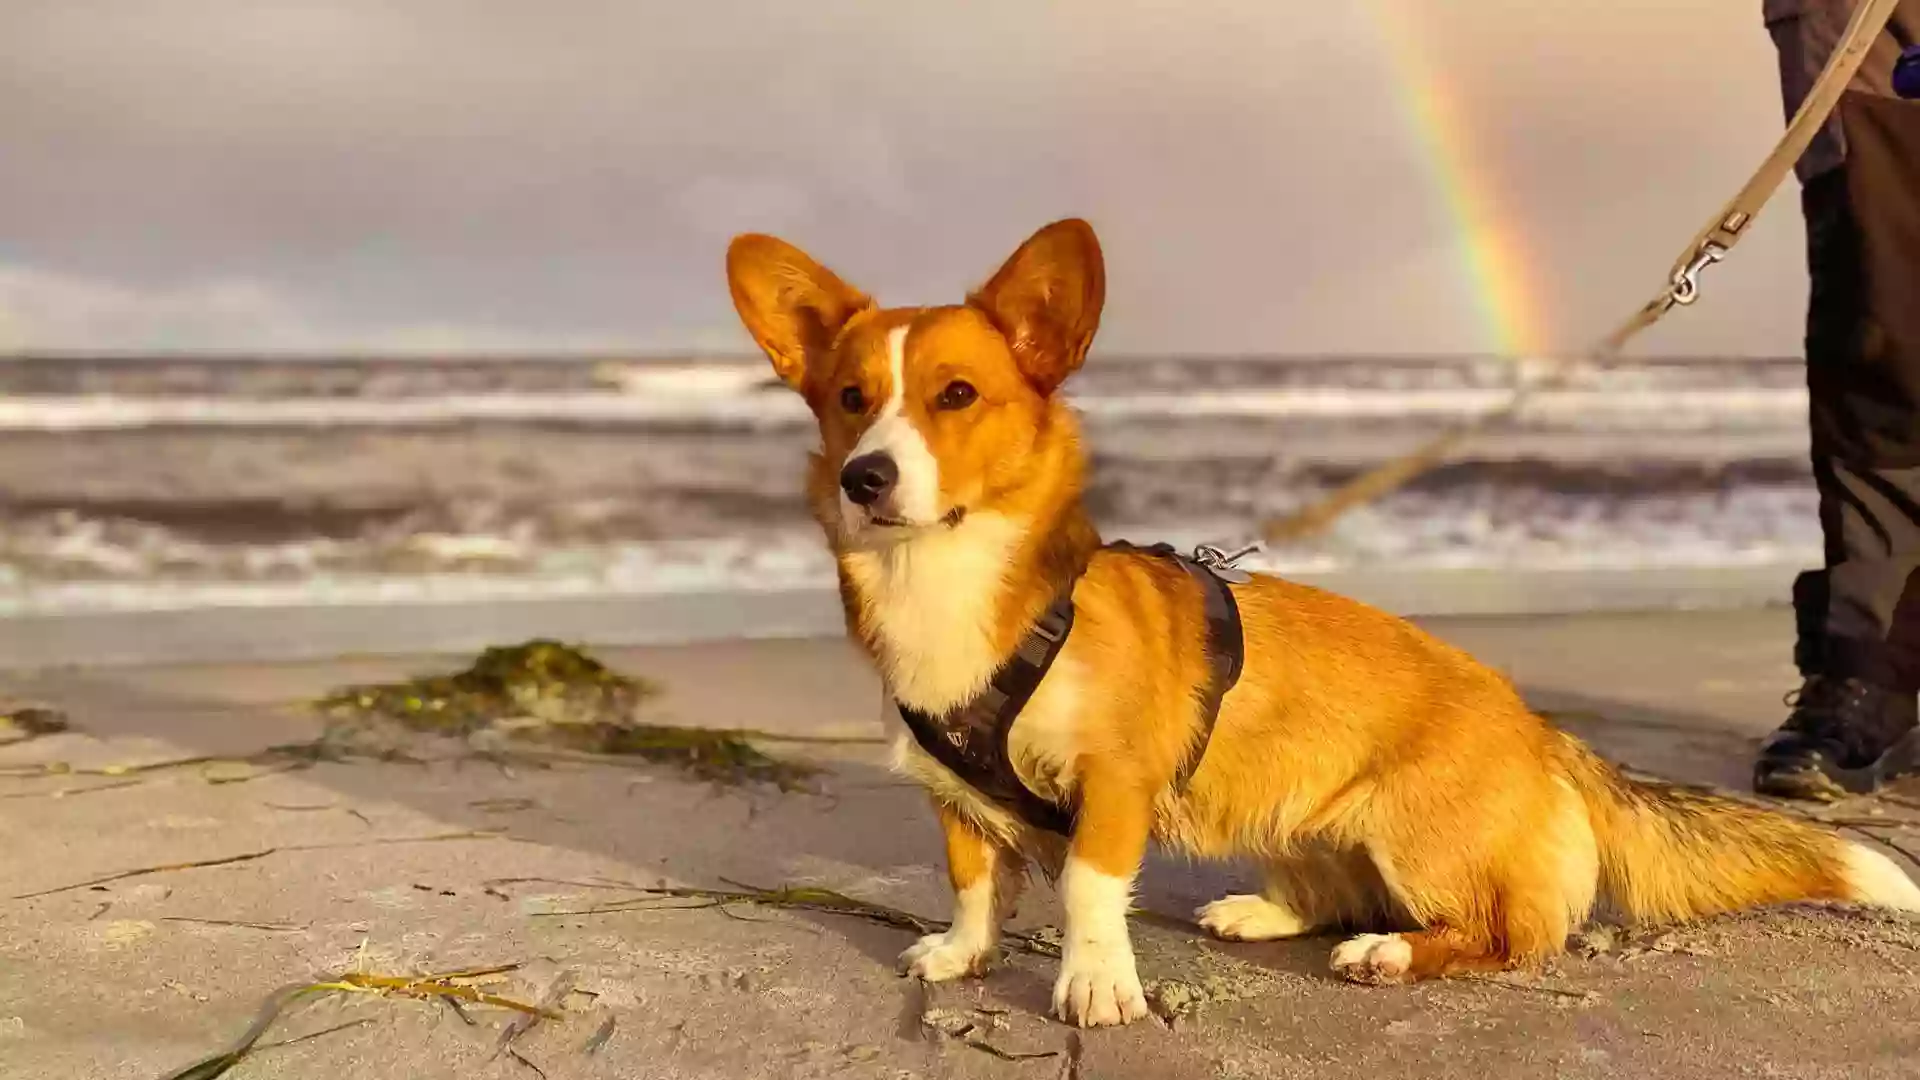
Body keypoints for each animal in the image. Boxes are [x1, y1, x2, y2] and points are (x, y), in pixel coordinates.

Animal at [721, 220, 1920, 1022]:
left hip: (1413, 835)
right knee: (1333, 894)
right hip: (1299, 815)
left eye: (957, 396)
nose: (867, 480)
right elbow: (975, 885)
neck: (956, 583)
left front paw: (1096, 984)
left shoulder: (1114, 785)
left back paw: (1392, 955)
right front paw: (960, 955)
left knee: (1513, 935)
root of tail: (1549, 739)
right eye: (848, 401)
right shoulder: (956, 798)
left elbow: (1089, 889)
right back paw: (1259, 914)